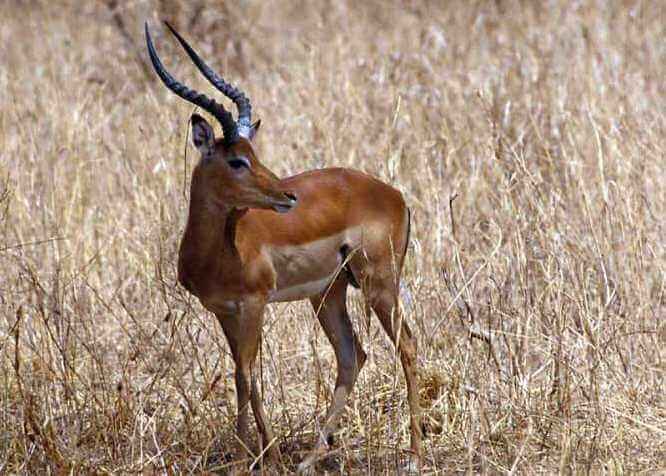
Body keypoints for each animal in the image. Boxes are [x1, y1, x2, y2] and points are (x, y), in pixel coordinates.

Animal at [145, 22, 422, 471]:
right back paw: (310, 458)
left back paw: (414, 455)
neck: (219, 251)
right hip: (328, 293)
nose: (288, 196)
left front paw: (248, 459)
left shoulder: (254, 303)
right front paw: (264, 454)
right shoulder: (223, 310)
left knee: (407, 345)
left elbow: (244, 376)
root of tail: (393, 194)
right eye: (236, 160)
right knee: (352, 355)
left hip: (378, 283)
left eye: (252, 154)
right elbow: (246, 373)